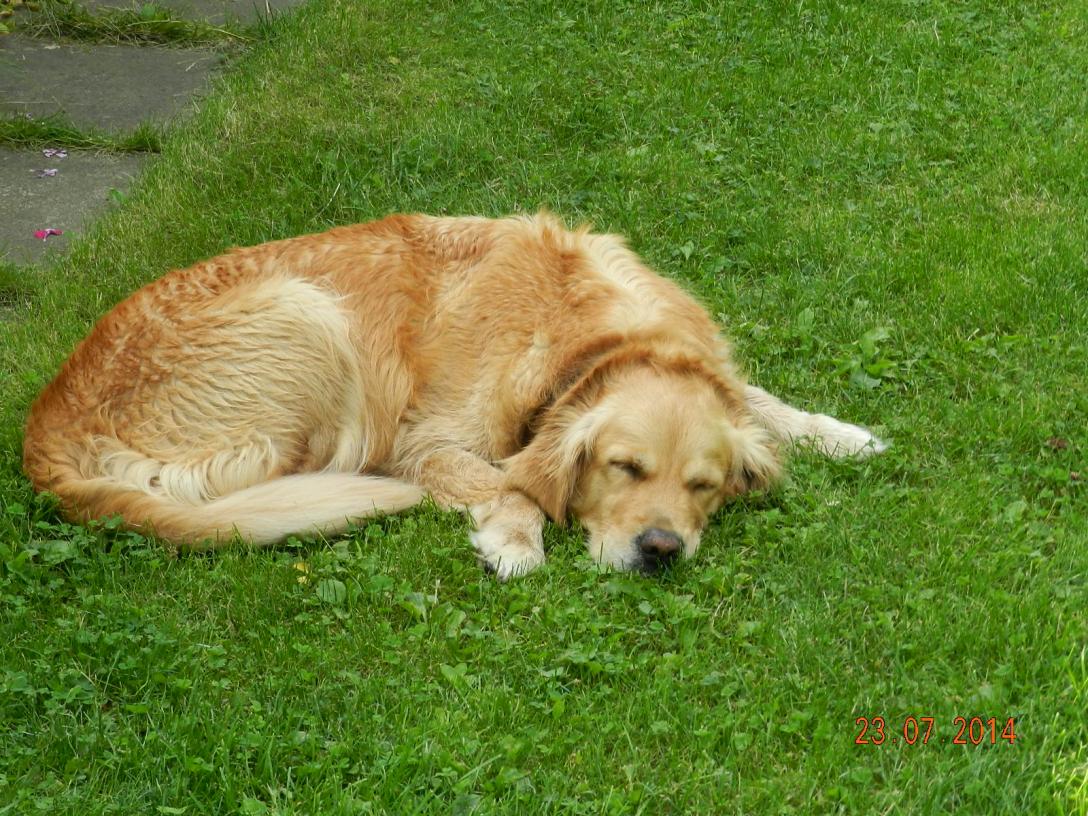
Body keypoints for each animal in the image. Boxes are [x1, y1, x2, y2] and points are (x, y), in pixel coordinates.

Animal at [23, 213, 886, 578]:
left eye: (704, 487)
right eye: (624, 468)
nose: (661, 550)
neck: (588, 343)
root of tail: (42, 434)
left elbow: (759, 401)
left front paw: (842, 433)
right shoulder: (427, 441)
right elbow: (511, 481)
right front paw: (515, 538)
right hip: (309, 315)